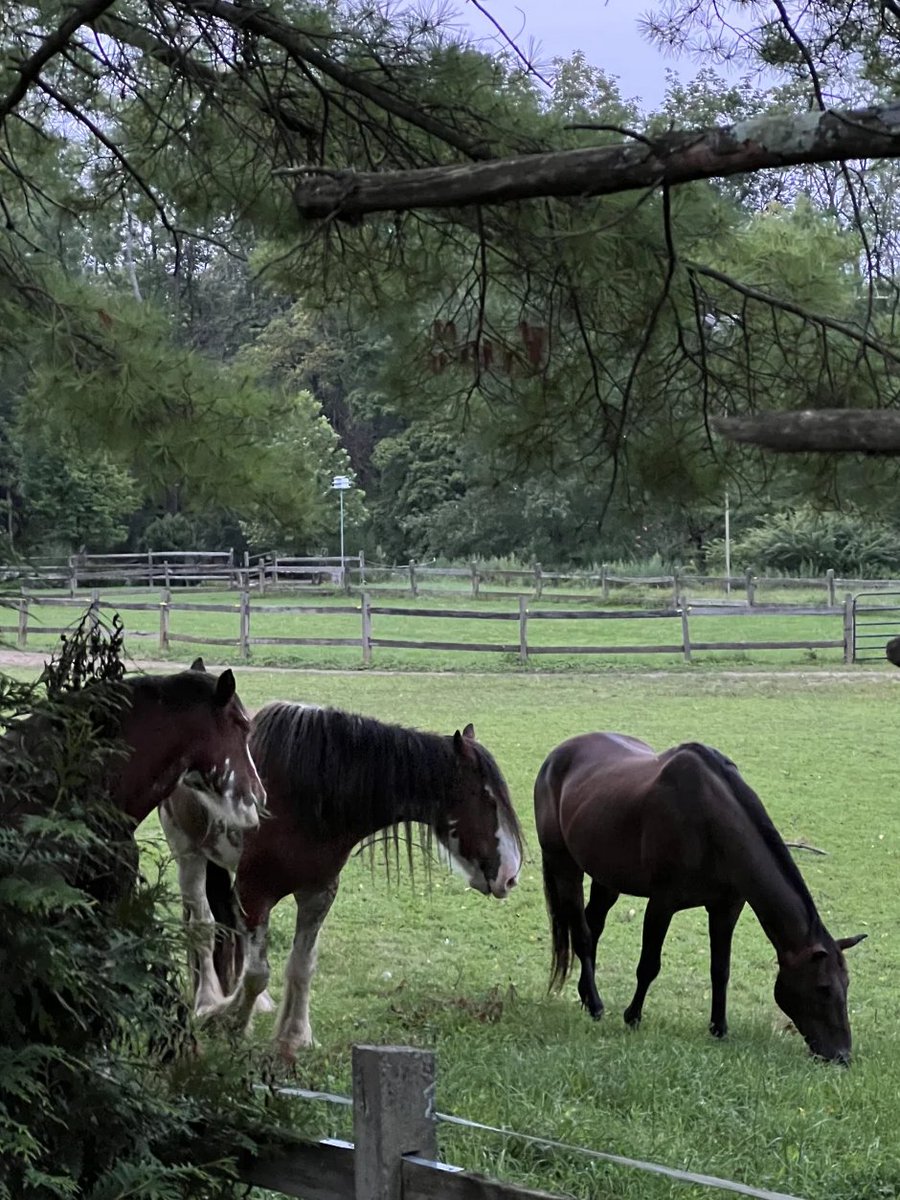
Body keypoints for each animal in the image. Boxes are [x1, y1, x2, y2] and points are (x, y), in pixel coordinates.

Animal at [160, 700, 524, 1059]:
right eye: (487, 798)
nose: (510, 875)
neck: (304, 794)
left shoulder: (318, 893)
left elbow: (301, 966)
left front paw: (294, 1036)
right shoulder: (255, 891)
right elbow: (257, 973)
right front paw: (230, 1021)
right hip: (188, 854)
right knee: (203, 927)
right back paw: (208, 1000)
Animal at [534, 732, 865, 1063]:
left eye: (847, 985)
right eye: (823, 988)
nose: (842, 1055)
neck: (712, 822)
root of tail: (556, 755)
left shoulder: (726, 908)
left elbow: (720, 970)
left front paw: (719, 1028)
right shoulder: (662, 903)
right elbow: (649, 965)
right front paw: (633, 1017)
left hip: (607, 878)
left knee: (594, 924)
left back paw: (584, 995)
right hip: (565, 866)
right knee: (582, 934)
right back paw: (595, 1004)